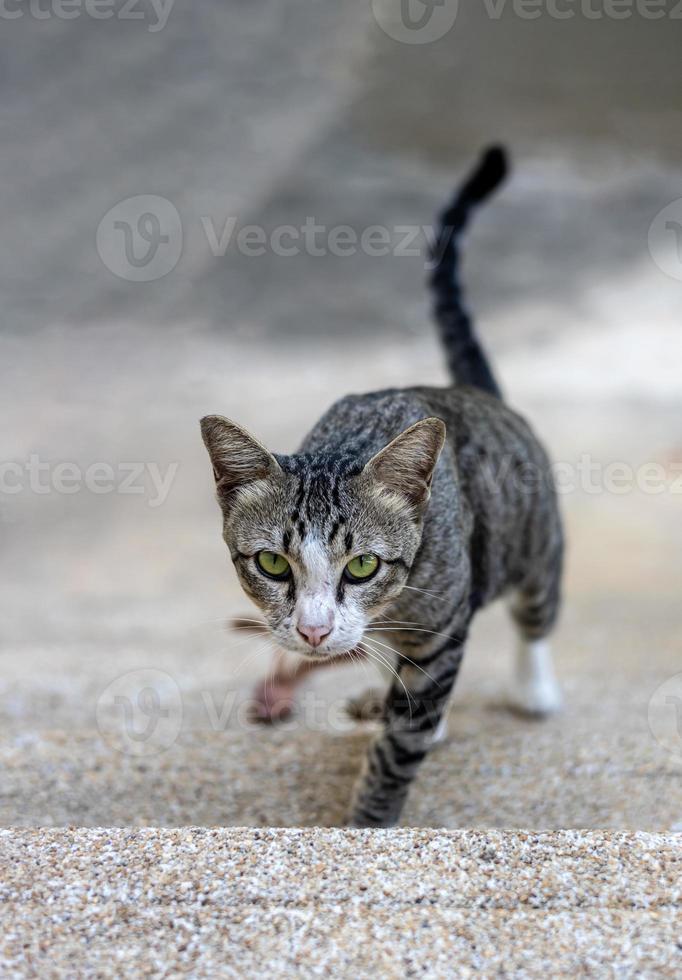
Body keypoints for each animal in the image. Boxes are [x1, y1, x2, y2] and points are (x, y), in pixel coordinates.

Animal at [199, 147, 560, 828]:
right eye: (271, 563)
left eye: (363, 565)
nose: (313, 632)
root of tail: (476, 392)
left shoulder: (443, 628)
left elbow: (401, 744)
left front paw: (368, 822)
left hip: (536, 541)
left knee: (536, 613)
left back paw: (534, 688)